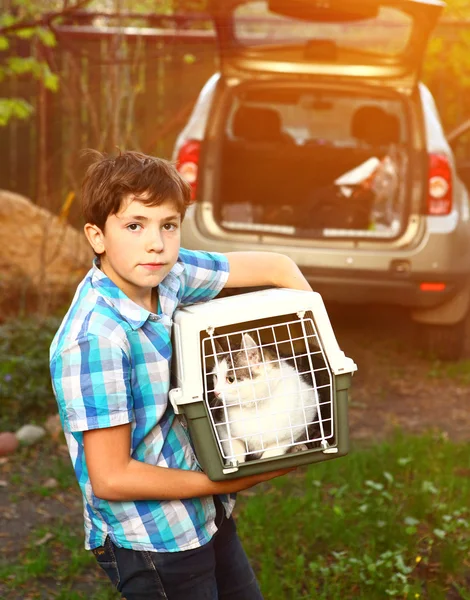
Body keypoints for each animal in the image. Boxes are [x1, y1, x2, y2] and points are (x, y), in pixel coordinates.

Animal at [210, 332, 318, 464]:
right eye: (215, 377)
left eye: (230, 379)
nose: (215, 392)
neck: (254, 407)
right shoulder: (221, 425)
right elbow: (234, 450)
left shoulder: (302, 419)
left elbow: (274, 450)